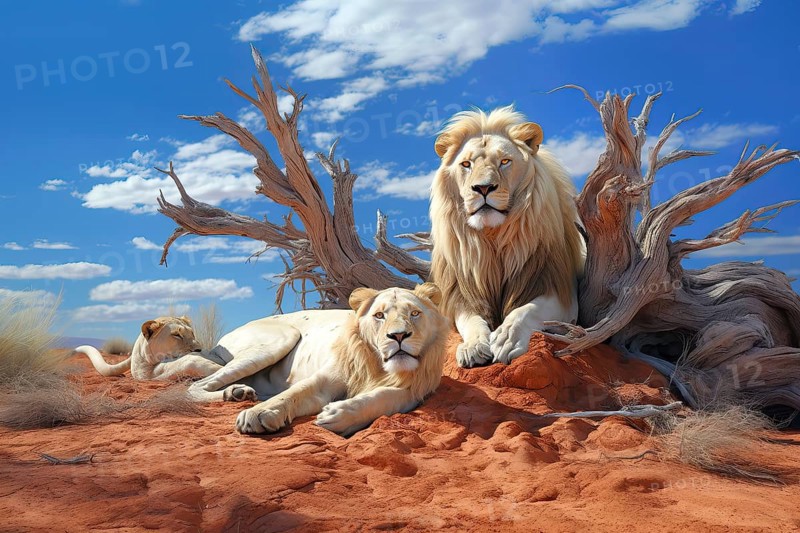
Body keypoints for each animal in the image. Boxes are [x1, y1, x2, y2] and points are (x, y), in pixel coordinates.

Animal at [430, 105, 584, 368]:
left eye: (504, 161)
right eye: (466, 164)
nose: (483, 188)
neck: (493, 235)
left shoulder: (560, 289)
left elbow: (526, 310)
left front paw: (507, 339)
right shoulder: (461, 293)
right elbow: (470, 319)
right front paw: (473, 346)